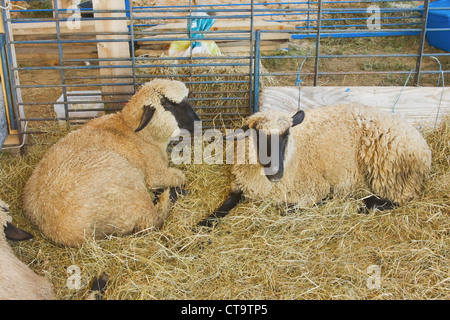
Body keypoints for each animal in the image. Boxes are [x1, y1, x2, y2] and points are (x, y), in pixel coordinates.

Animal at [23, 79, 200, 246]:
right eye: (168, 104)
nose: (198, 123)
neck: (136, 133)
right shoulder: (155, 174)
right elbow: (180, 176)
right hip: (130, 188)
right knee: (150, 222)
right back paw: (169, 195)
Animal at [200, 104, 432, 226]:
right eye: (257, 135)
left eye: (286, 135)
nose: (275, 174)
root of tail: (422, 142)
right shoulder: (240, 185)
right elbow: (226, 204)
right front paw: (204, 224)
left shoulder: (316, 188)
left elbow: (291, 209)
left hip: (393, 175)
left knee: (401, 198)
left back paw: (367, 204)